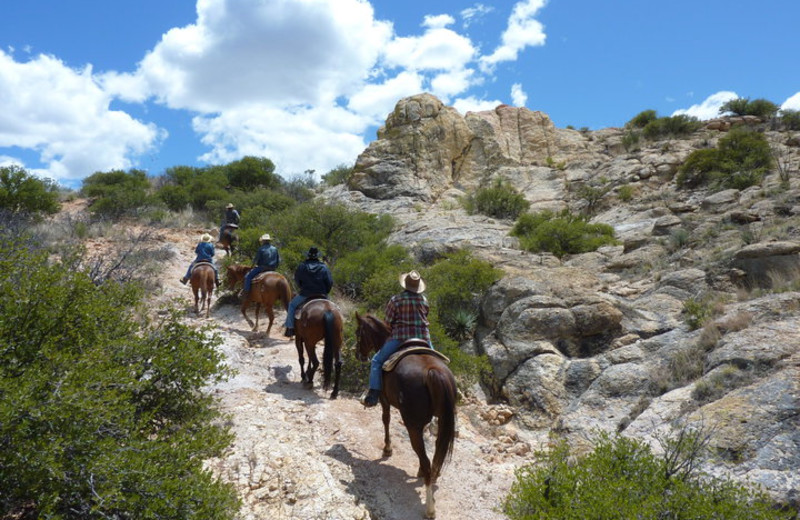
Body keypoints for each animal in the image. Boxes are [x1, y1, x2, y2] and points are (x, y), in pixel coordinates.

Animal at [354, 310, 456, 516]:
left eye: (357, 332)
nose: (357, 354)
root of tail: (434, 371)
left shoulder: (384, 399)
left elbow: (385, 419)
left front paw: (387, 449)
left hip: (412, 426)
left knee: (426, 461)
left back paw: (430, 508)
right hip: (441, 422)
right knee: (434, 458)